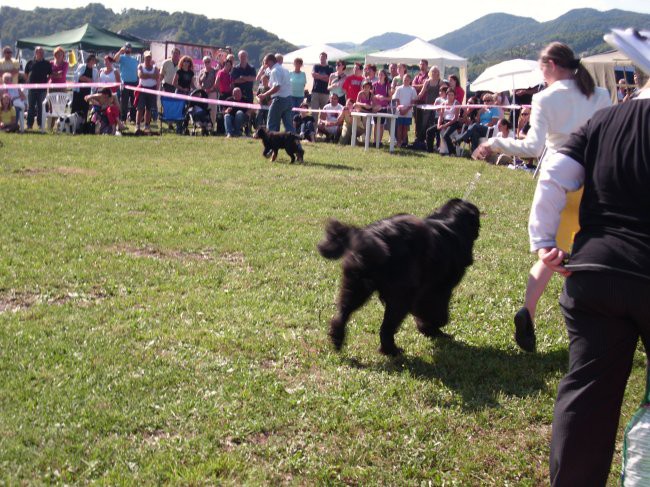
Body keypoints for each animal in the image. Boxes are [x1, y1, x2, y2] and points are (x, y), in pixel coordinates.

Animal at [316, 200, 478, 356]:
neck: (449, 221)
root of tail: (374, 235)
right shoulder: (438, 288)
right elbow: (434, 309)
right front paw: (434, 328)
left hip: (356, 287)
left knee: (342, 314)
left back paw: (337, 339)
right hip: (400, 296)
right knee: (386, 327)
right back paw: (391, 350)